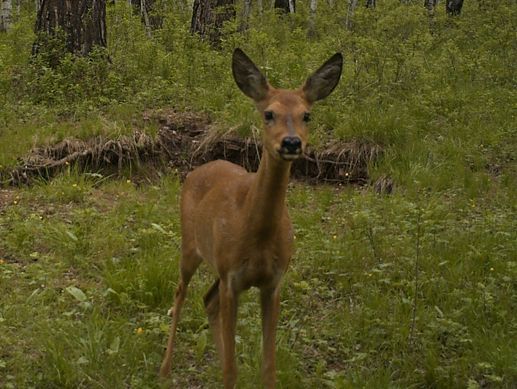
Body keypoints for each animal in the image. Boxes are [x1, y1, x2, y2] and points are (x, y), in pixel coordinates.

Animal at [159, 47, 340, 386]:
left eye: (306, 115)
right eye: (268, 114)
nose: (292, 142)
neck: (257, 234)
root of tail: (199, 167)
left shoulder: (272, 283)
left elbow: (268, 366)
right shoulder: (233, 279)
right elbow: (232, 368)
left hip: (217, 266)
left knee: (207, 300)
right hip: (190, 247)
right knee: (180, 293)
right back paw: (164, 369)